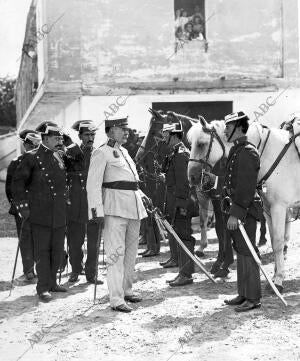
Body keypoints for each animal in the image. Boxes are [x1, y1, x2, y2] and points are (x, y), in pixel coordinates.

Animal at [188, 116, 300, 292]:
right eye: (190, 143)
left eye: (201, 143)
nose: (191, 177)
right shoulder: (268, 209)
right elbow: (275, 241)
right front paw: (276, 275)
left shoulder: (279, 207)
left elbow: (278, 242)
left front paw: (278, 281)